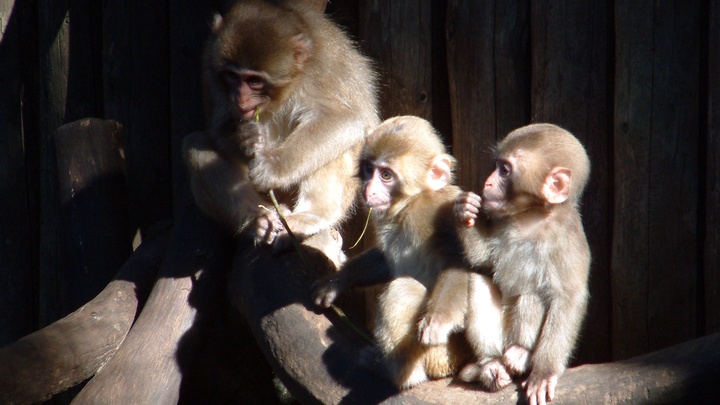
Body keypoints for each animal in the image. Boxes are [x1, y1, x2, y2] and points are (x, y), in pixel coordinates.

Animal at [183, 0, 380, 249]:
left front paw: (273, 167)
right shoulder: (209, 71)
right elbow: (218, 131)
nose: (241, 99)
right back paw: (261, 219)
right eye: (232, 76)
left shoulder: (325, 71)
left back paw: (311, 216)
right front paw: (248, 139)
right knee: (197, 146)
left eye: (255, 81)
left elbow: (348, 118)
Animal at [312, 116, 504, 388]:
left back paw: (396, 373)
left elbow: (460, 263)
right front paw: (336, 281)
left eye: (386, 175)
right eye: (369, 169)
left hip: (442, 356)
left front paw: (438, 320)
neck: (410, 203)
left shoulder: (433, 216)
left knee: (404, 288)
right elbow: (385, 260)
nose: (369, 190)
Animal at [456, 123, 592, 404]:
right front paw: (464, 209)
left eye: (505, 171)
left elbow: (568, 299)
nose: (487, 181)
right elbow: (484, 259)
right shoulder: (502, 223)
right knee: (476, 282)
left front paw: (545, 371)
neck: (533, 217)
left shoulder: (566, 241)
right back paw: (490, 365)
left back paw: (521, 353)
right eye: (497, 166)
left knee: (531, 295)